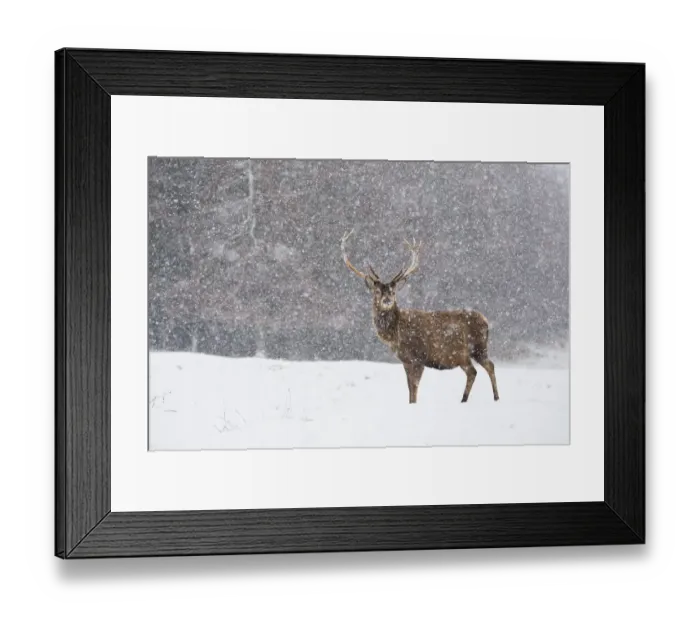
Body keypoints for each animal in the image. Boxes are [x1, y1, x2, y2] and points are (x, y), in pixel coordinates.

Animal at [341, 230, 499, 405]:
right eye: (377, 291)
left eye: (393, 292)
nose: (387, 299)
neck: (396, 334)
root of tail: (486, 321)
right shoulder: (406, 361)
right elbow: (409, 388)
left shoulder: (418, 357)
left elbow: (415, 388)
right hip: (462, 355)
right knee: (473, 371)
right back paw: (464, 400)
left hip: (478, 346)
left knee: (489, 366)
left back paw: (495, 397)